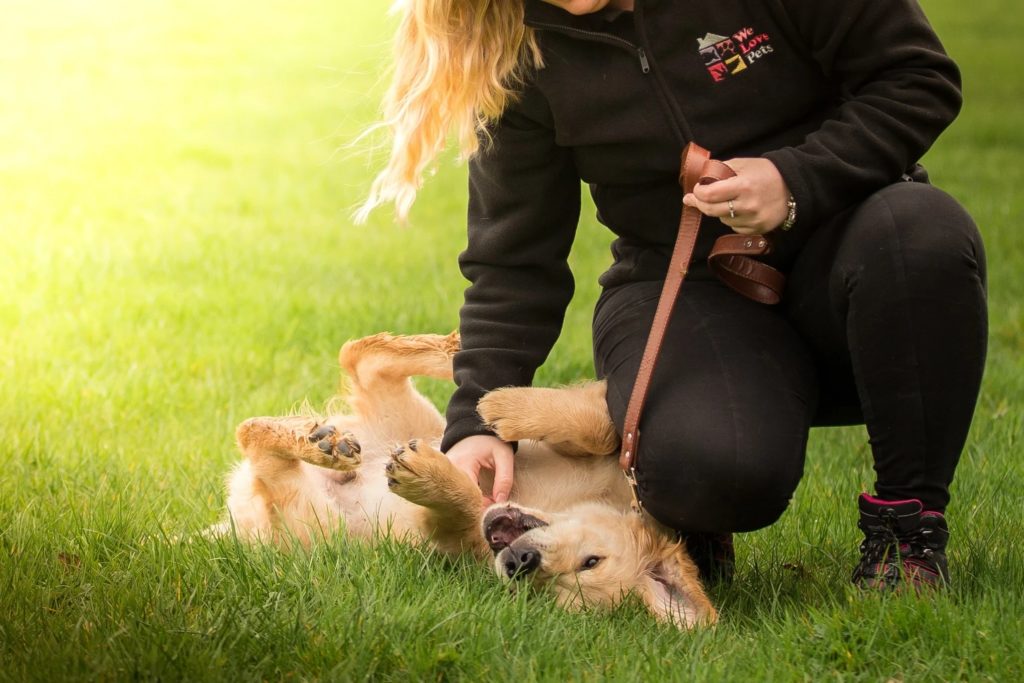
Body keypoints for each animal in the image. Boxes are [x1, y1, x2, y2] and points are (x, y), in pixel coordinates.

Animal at [211, 333, 716, 626]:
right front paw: (506, 407)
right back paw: (453, 350)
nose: (521, 564)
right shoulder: (617, 421)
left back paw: (319, 443)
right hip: (422, 422)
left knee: (258, 436)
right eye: (593, 561)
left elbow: (470, 506)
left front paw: (429, 477)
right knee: (359, 354)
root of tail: (236, 517)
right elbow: (600, 427)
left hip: (311, 524)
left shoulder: (453, 536)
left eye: (548, 596)